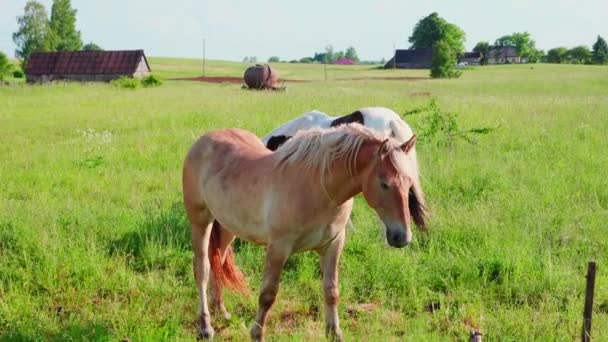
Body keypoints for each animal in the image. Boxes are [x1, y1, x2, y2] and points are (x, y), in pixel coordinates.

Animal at [183, 124, 426, 340]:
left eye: (409, 183)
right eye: (384, 184)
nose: (402, 238)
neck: (319, 187)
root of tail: (203, 141)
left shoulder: (333, 244)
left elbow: (331, 291)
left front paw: (334, 333)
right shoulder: (278, 247)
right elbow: (268, 295)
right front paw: (257, 333)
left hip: (228, 226)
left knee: (219, 261)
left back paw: (221, 311)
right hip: (200, 222)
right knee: (202, 268)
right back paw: (205, 327)